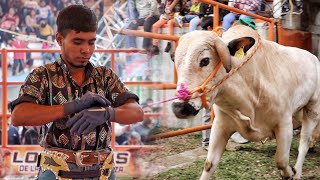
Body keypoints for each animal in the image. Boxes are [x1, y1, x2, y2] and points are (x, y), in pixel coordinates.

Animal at [172, 24, 320, 179]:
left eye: (205, 60)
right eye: (175, 61)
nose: (179, 107)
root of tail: (313, 58)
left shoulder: (284, 123)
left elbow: (281, 160)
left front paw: (291, 172)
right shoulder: (221, 124)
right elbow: (209, 164)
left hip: (313, 107)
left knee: (304, 142)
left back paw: (298, 170)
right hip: (299, 110)